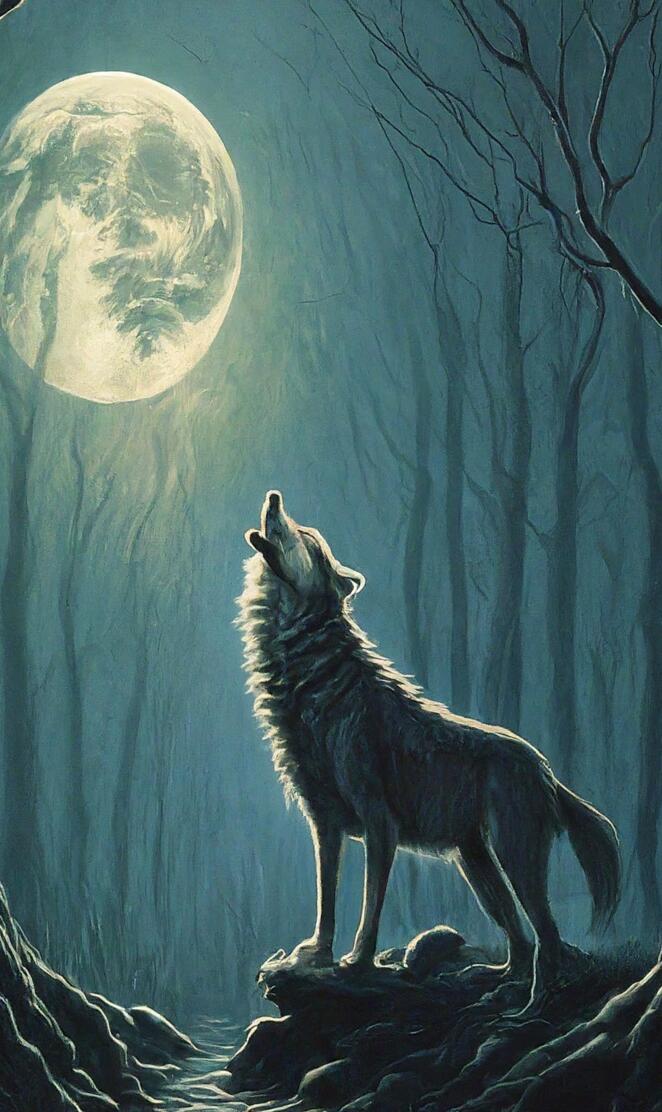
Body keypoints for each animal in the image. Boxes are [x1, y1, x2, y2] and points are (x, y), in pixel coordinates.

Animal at [238, 490, 620, 990]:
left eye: (305, 536)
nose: (273, 497)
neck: (313, 682)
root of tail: (547, 769)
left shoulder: (380, 822)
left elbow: (370, 906)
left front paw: (358, 962)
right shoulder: (324, 824)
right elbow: (326, 902)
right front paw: (316, 953)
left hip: (514, 858)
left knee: (549, 939)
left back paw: (531, 998)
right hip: (474, 862)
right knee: (521, 938)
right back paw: (494, 977)